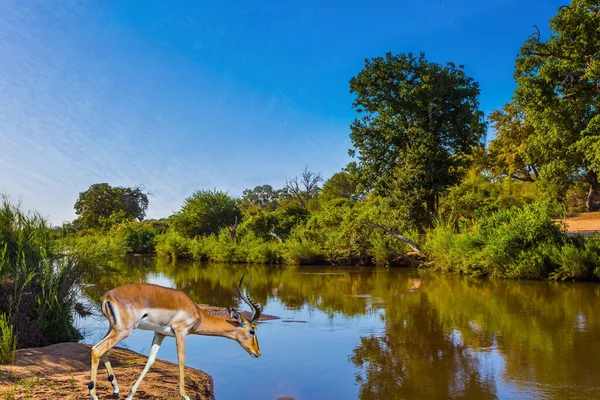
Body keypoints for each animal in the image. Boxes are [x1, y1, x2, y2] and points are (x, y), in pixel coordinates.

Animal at [88, 276, 262, 400]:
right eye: (252, 330)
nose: (258, 353)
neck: (197, 312)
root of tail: (107, 296)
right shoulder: (181, 332)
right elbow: (181, 358)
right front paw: (185, 395)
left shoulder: (160, 334)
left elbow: (150, 360)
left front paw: (130, 394)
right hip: (123, 331)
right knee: (97, 350)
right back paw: (94, 394)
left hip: (113, 328)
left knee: (101, 349)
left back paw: (116, 389)